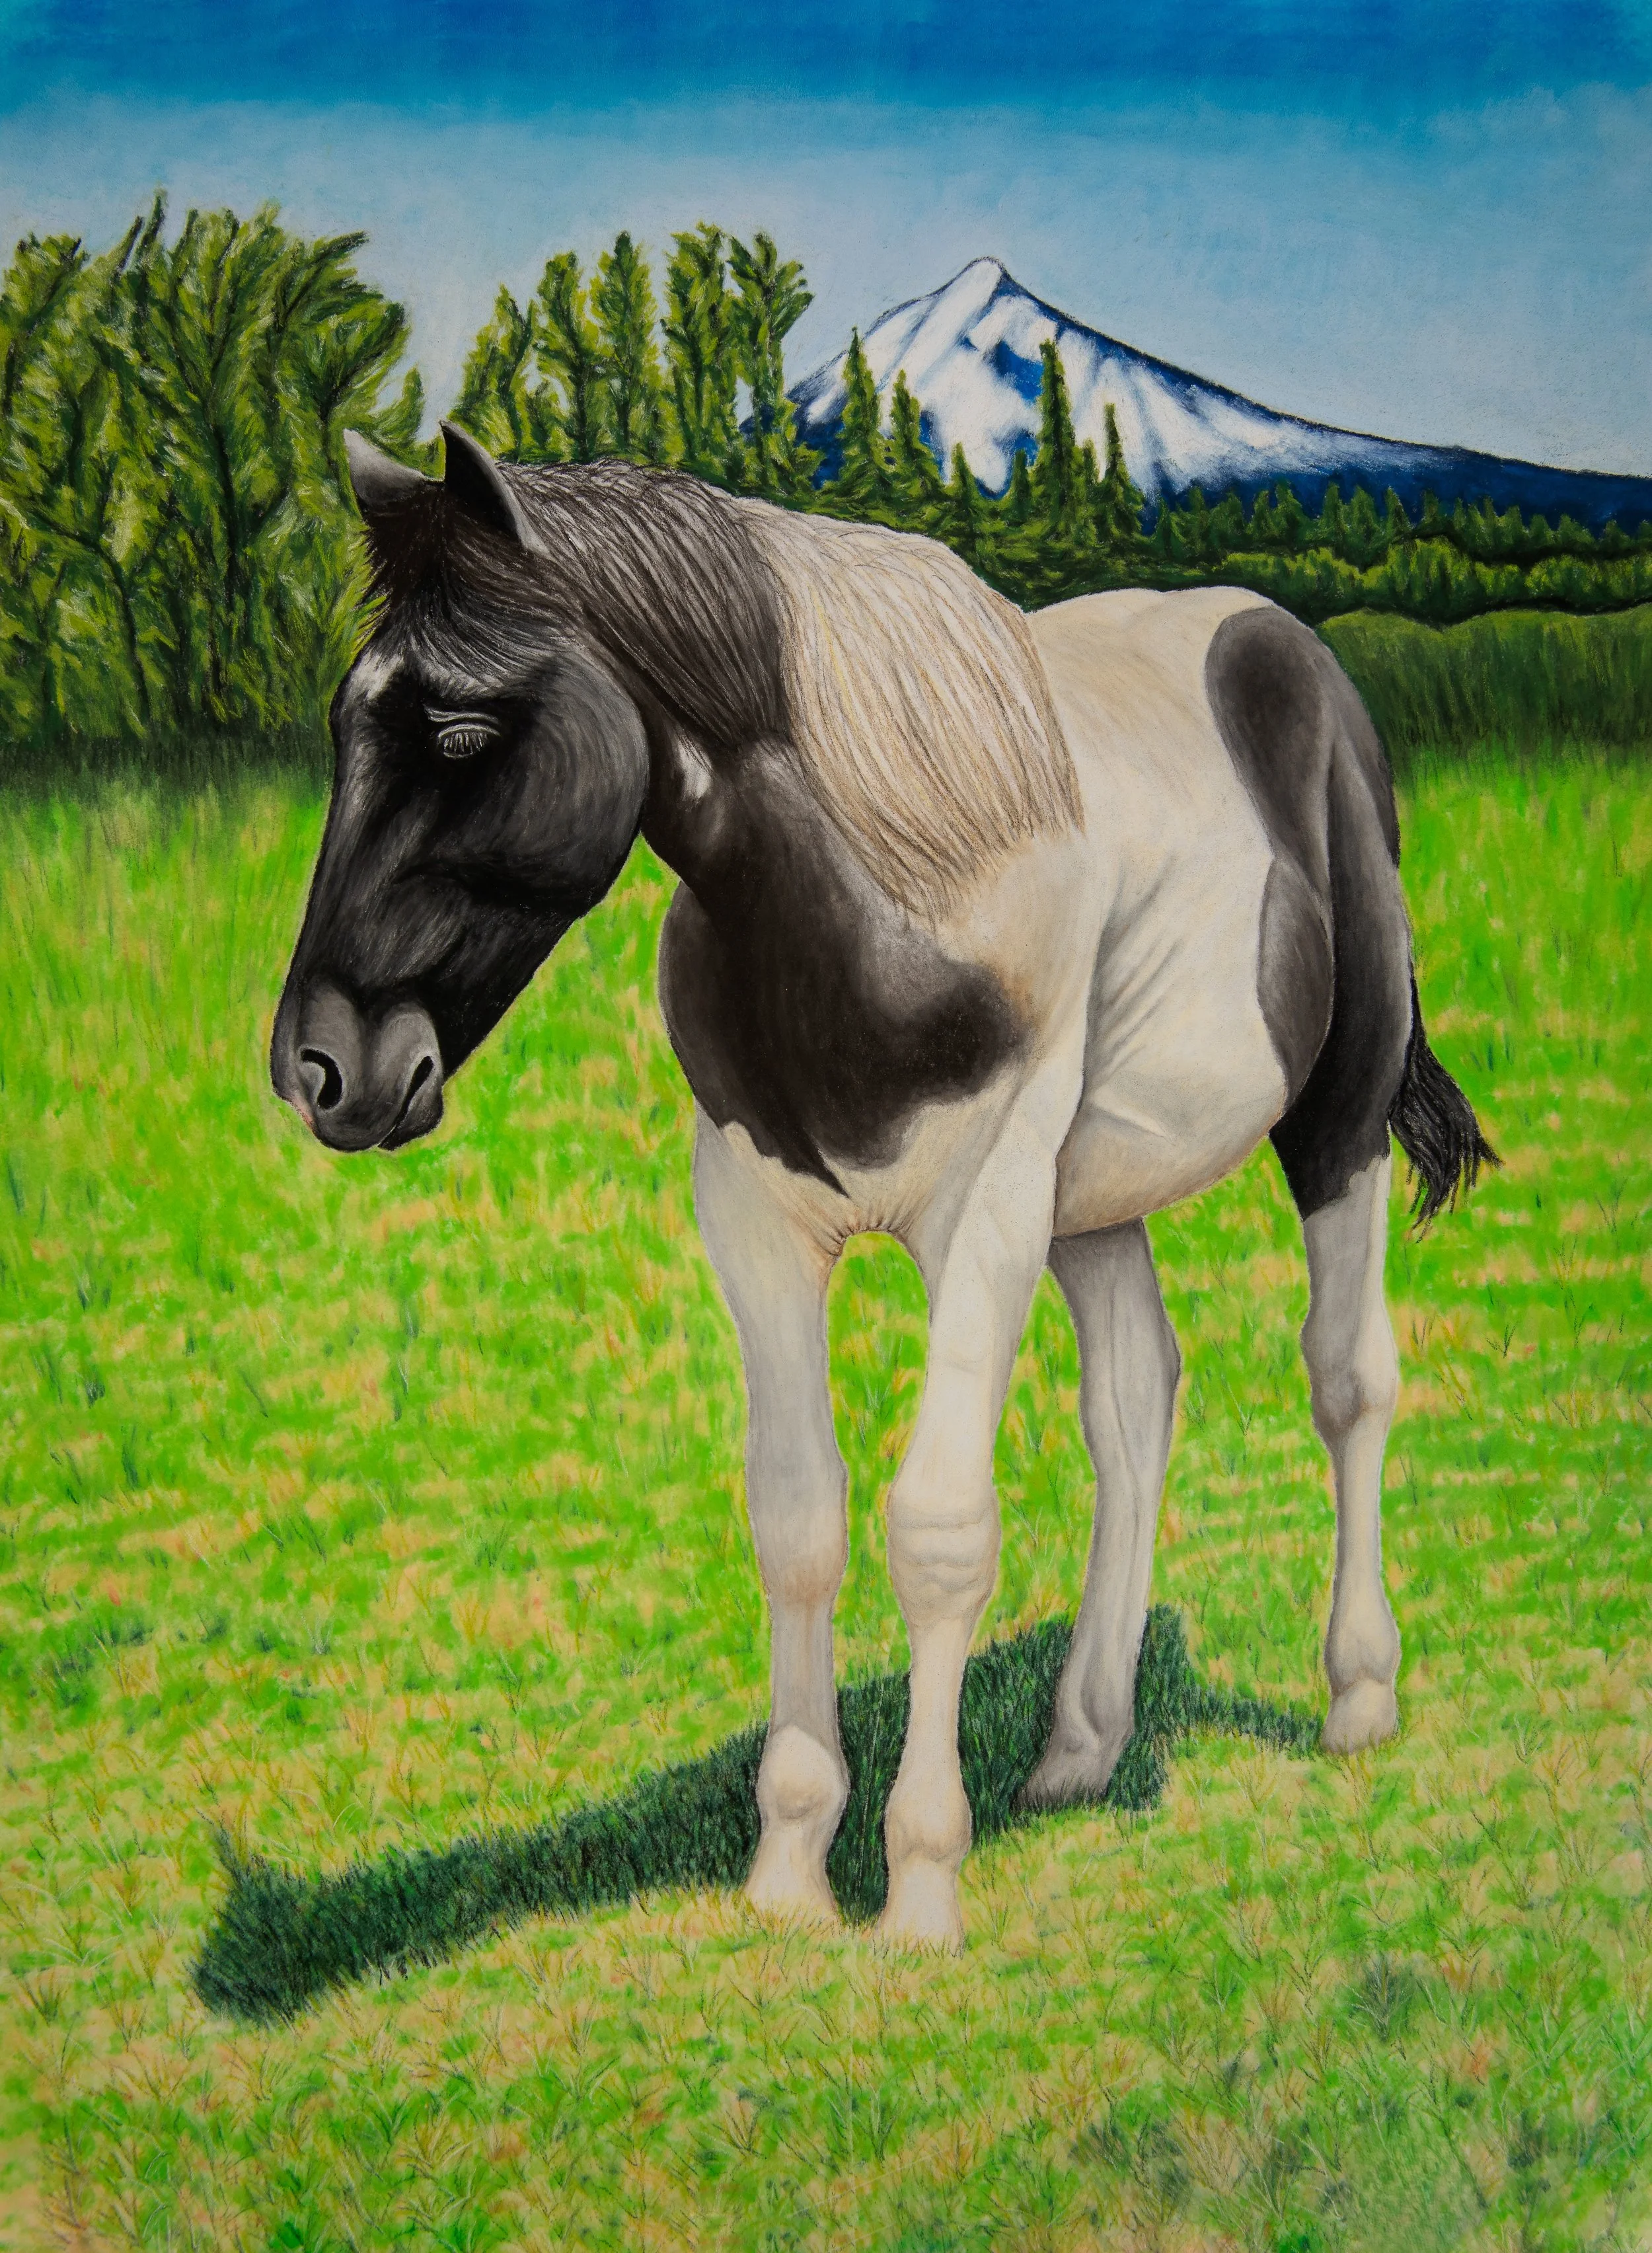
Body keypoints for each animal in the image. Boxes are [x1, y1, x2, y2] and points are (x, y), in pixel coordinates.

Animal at [271, 422, 1495, 1951]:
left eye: (457, 733)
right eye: (342, 722)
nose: (318, 1070)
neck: (883, 899)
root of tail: (1291, 651)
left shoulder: (981, 1216)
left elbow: (938, 1528)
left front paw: (918, 1882)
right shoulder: (754, 1217)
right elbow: (799, 1519)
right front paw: (792, 1866)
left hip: (1332, 1119)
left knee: (1346, 1375)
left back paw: (1356, 1694)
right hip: (1092, 1202)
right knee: (1135, 1403)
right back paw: (1080, 1746)